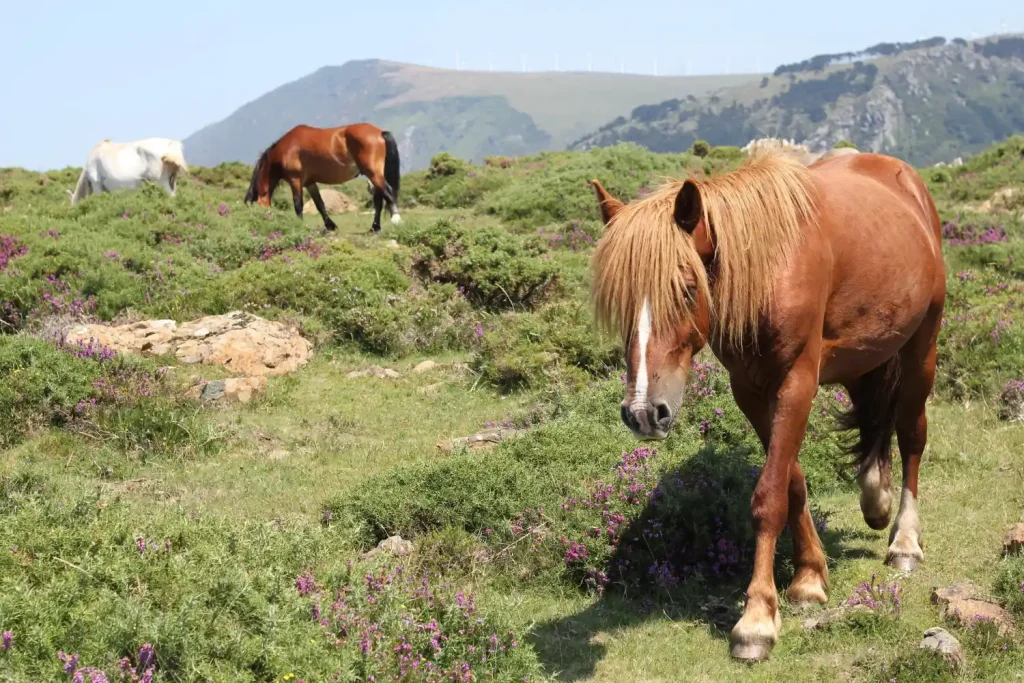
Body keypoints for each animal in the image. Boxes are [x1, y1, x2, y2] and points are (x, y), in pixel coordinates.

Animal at [243, 122, 401, 232]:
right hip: (373, 175)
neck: (285, 150)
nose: (257, 226)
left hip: (373, 173)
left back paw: (396, 219)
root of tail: (380, 132)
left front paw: (300, 225)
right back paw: (374, 227)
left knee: (387, 192)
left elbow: (298, 204)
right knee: (379, 200)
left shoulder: (295, 180)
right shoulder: (310, 183)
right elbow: (320, 204)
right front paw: (330, 225)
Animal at [588, 148, 945, 662]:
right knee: (873, 415)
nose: (642, 413)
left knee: (912, 434)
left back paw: (904, 541)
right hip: (866, 351)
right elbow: (791, 483)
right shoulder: (751, 391)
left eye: (687, 290)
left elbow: (769, 496)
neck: (769, 266)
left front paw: (756, 618)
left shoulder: (796, 383)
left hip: (922, 347)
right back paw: (874, 496)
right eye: (619, 303)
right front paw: (810, 577)